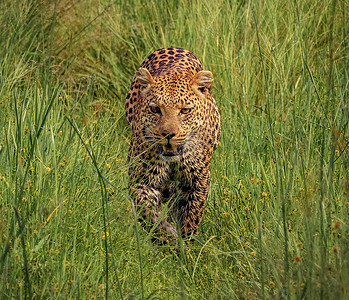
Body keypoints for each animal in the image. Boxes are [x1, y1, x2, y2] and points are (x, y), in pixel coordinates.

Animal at [123, 47, 219, 241]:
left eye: (185, 110)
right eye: (155, 109)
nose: (168, 134)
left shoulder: (199, 179)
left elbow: (192, 215)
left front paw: (185, 241)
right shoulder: (142, 179)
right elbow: (146, 212)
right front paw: (166, 234)